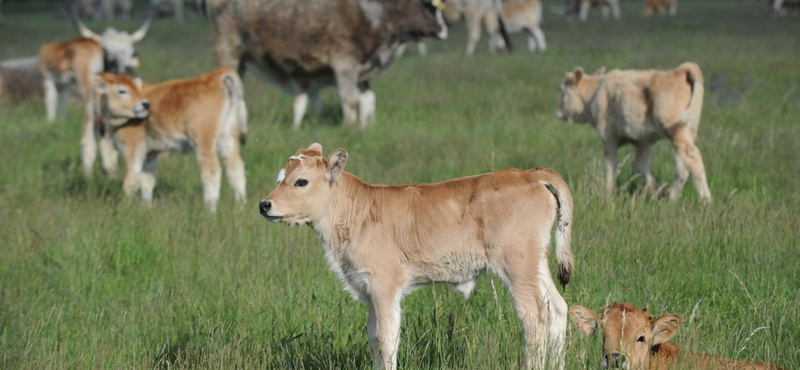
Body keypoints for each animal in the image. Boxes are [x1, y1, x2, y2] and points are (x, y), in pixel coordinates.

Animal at [92, 67, 247, 211]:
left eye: (135, 89)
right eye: (122, 91)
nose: (144, 104)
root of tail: (212, 78)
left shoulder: (133, 150)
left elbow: (132, 179)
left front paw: (125, 206)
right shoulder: (151, 153)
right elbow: (147, 181)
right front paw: (146, 207)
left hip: (204, 142)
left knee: (212, 171)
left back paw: (209, 210)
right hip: (227, 140)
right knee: (235, 169)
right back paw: (240, 207)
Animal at [205, 0, 450, 129]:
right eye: (430, 7)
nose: (444, 31)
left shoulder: (361, 71)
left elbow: (369, 100)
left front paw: (366, 126)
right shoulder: (345, 63)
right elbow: (350, 100)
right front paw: (351, 127)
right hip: (228, 52)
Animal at [260, 145, 580, 370]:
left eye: (301, 182)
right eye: (279, 178)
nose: (265, 204)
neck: (354, 212)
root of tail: (529, 173)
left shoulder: (384, 287)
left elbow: (387, 339)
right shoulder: (370, 291)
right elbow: (374, 338)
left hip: (517, 268)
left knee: (534, 318)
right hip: (536, 264)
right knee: (557, 309)